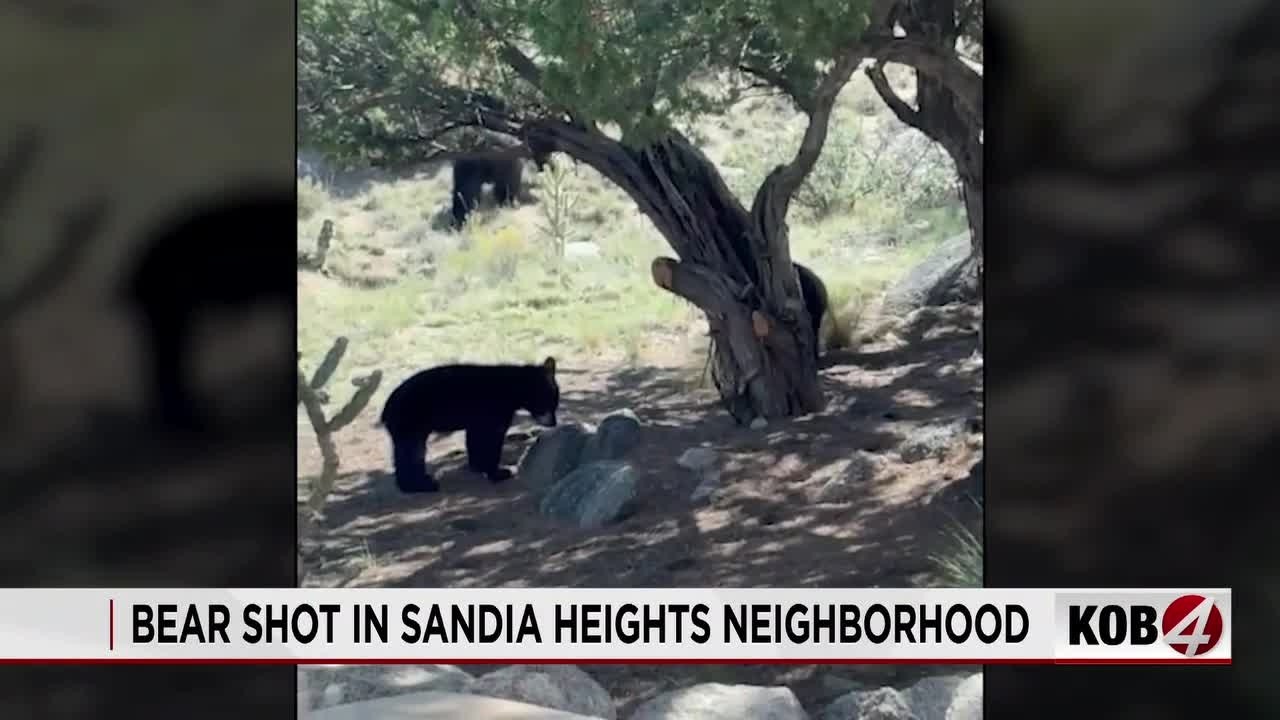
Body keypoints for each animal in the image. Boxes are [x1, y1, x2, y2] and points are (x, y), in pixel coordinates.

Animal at [378, 356, 561, 493]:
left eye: (555, 402)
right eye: (548, 403)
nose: (553, 422)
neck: (514, 388)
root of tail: (386, 409)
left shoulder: (478, 420)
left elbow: (475, 439)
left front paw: (478, 467)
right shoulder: (493, 411)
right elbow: (490, 440)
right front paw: (499, 472)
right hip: (411, 423)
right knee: (411, 451)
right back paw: (420, 485)